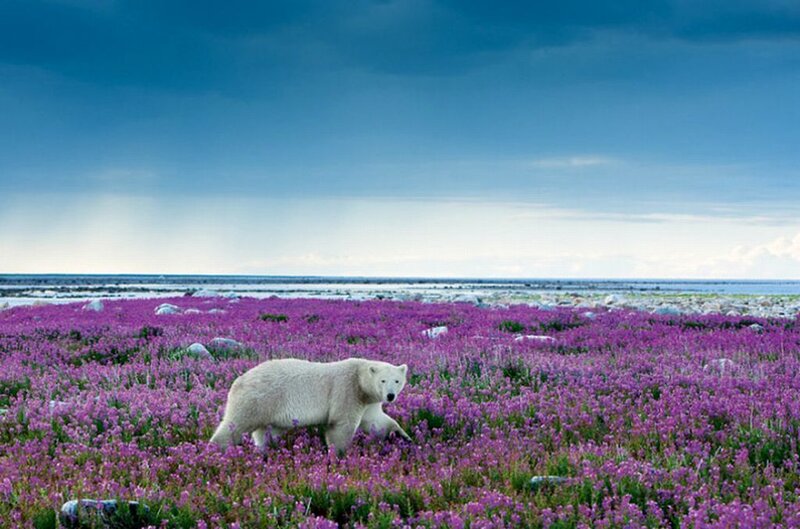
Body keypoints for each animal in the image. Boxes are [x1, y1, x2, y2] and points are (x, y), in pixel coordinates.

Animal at [209, 358, 410, 455]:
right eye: (383, 380)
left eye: (397, 381)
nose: (390, 396)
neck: (360, 381)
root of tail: (239, 380)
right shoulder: (346, 391)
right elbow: (341, 426)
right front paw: (339, 454)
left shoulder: (369, 402)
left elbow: (377, 421)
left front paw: (402, 436)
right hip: (259, 399)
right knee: (236, 424)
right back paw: (218, 449)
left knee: (265, 433)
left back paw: (264, 451)